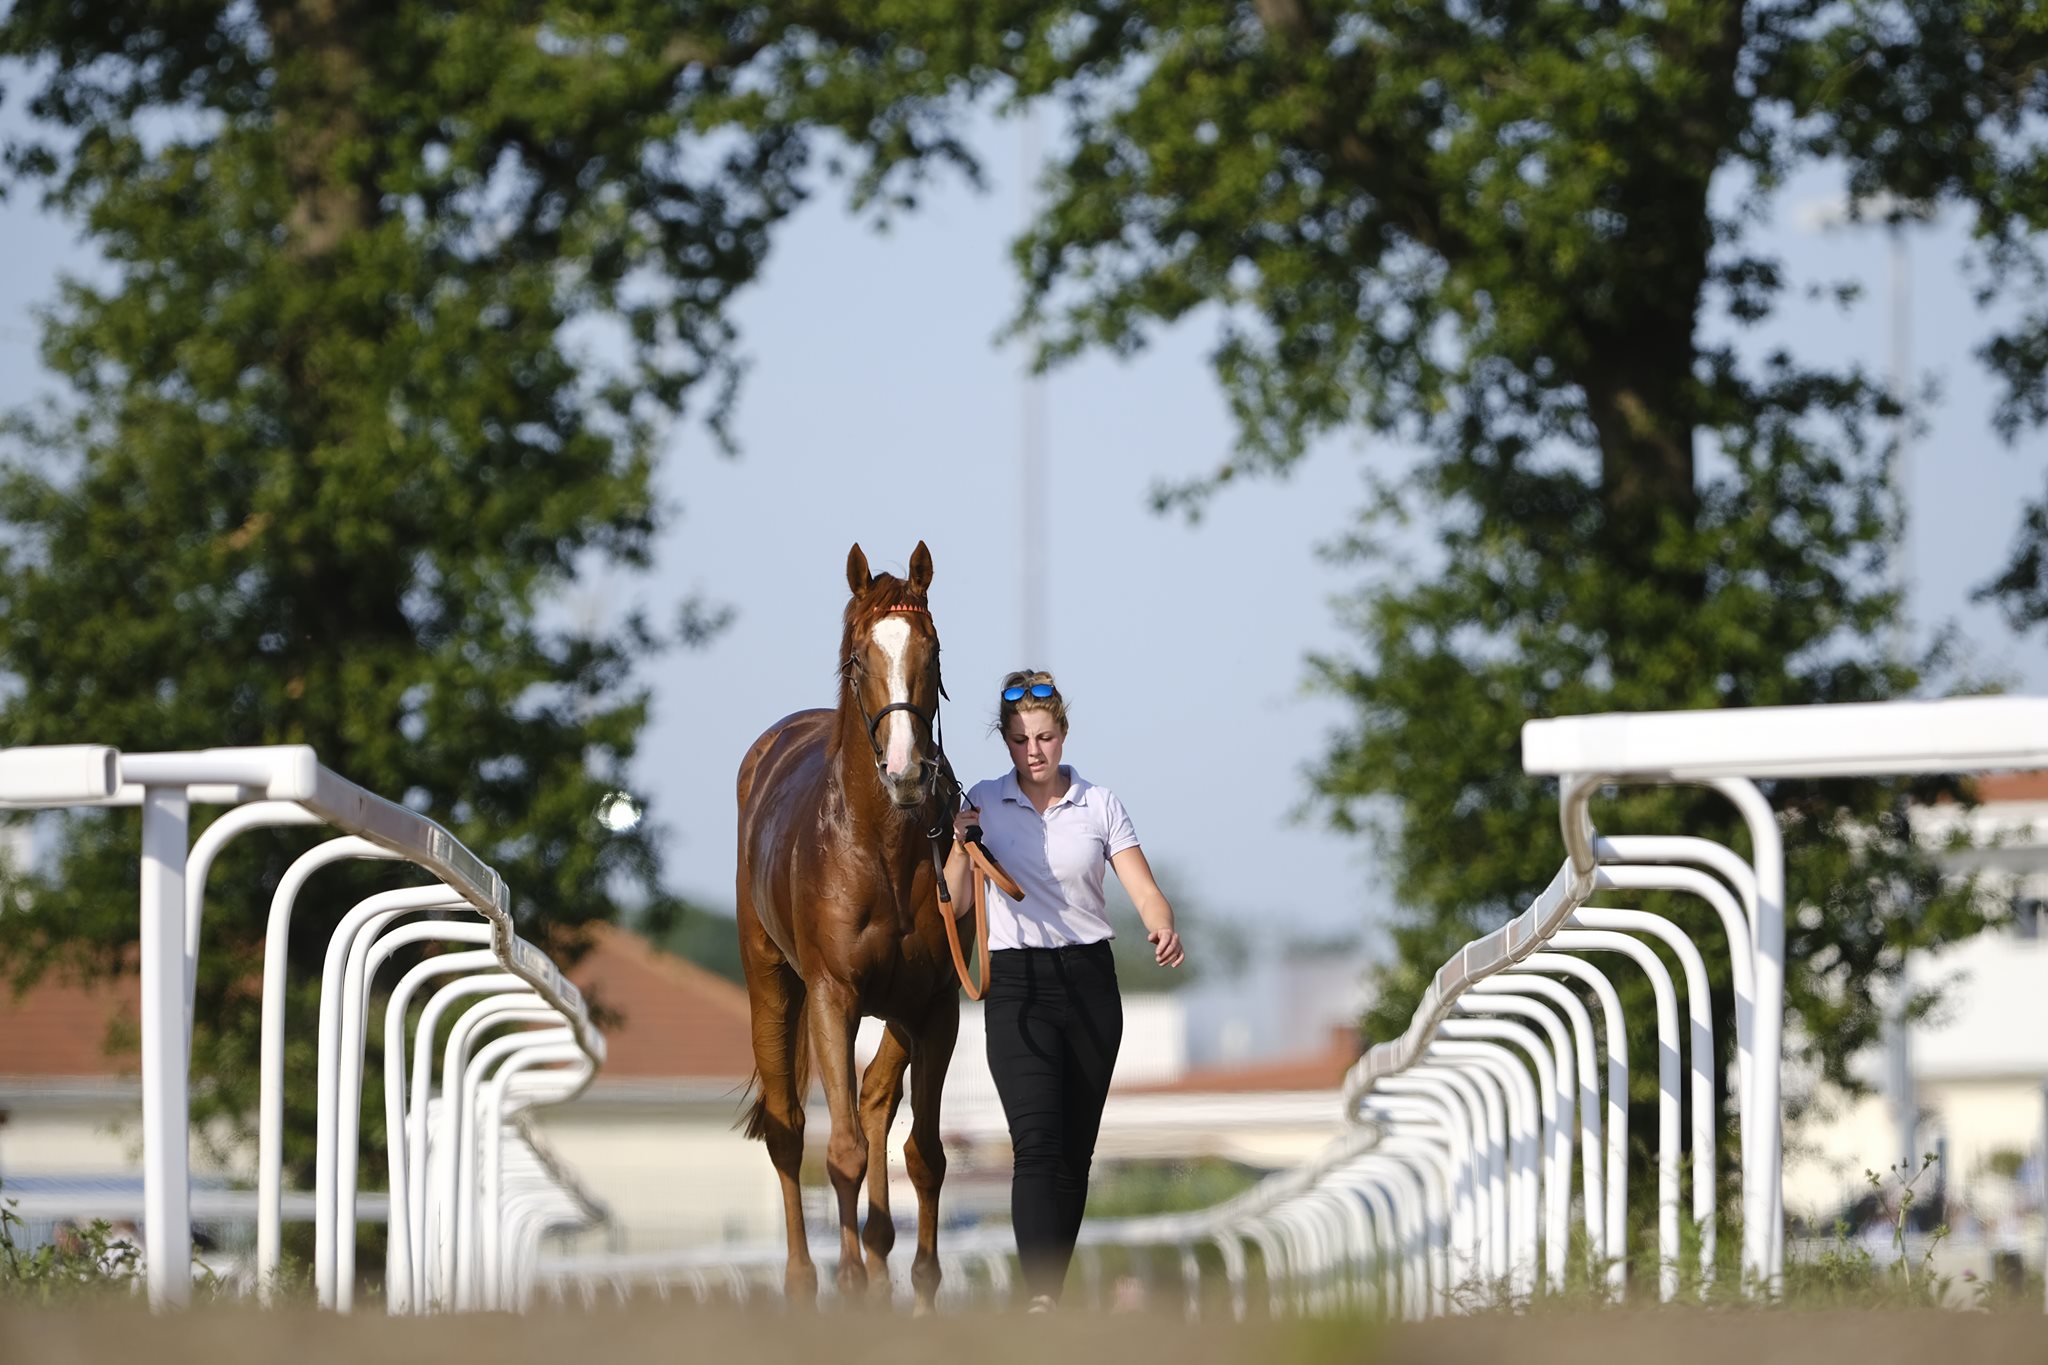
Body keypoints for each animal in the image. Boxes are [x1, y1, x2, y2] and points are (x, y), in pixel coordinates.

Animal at [736, 540, 963, 1312]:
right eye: (861, 657)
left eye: (933, 648)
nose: (906, 770)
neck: (881, 849)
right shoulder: (834, 998)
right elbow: (839, 1154)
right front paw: (851, 1282)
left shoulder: (935, 1007)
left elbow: (924, 1153)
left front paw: (918, 1288)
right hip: (772, 981)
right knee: (788, 1129)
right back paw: (807, 1282)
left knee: (874, 1098)